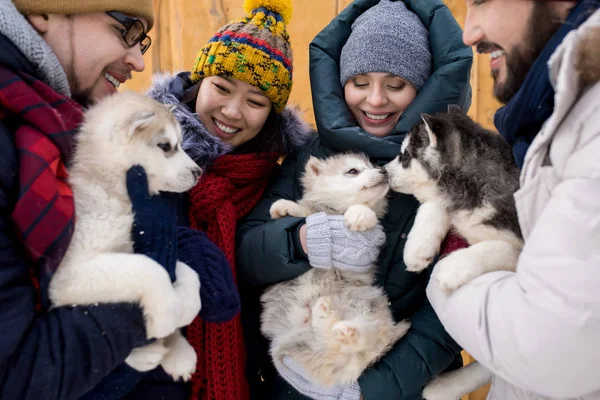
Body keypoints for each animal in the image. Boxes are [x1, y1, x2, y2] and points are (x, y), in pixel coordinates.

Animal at [48, 90, 202, 382]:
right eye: (166, 146)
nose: (199, 172)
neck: (115, 193)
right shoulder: (67, 275)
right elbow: (150, 269)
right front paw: (165, 315)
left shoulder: (145, 246)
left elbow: (187, 272)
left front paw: (185, 311)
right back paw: (145, 353)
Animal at [260, 153, 410, 388]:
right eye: (353, 171)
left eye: (372, 166)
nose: (384, 171)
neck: (337, 211)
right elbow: (306, 210)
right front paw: (283, 207)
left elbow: (367, 214)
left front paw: (359, 214)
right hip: (295, 342)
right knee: (332, 351)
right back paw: (327, 317)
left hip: (366, 303)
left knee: (363, 340)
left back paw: (343, 328)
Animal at [386, 106, 524, 400]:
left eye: (405, 156)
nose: (382, 170)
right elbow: (435, 203)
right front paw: (418, 247)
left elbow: (501, 246)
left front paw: (453, 266)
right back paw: (443, 386)